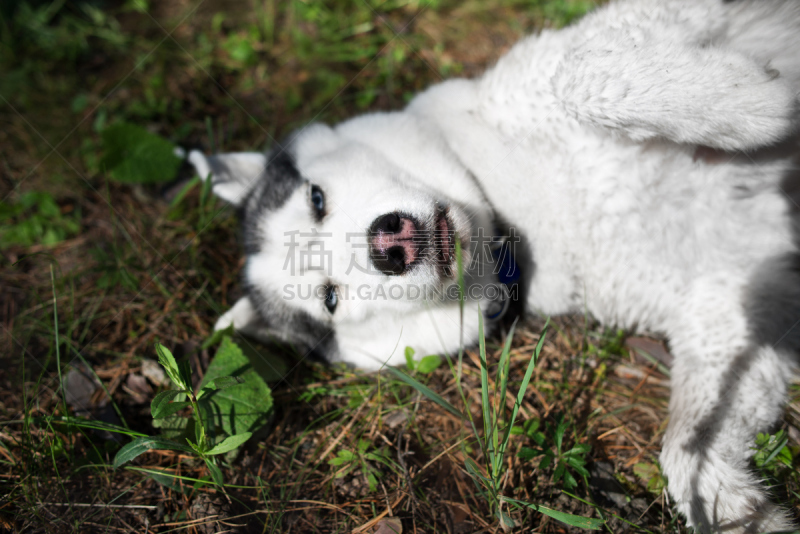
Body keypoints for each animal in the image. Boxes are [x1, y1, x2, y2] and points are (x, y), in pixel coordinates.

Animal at [189, 2, 800, 532]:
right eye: (331, 298)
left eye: (316, 198)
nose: (390, 243)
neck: (509, 215)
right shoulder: (721, 298)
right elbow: (686, 448)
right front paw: (735, 505)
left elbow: (579, 74)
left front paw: (754, 105)